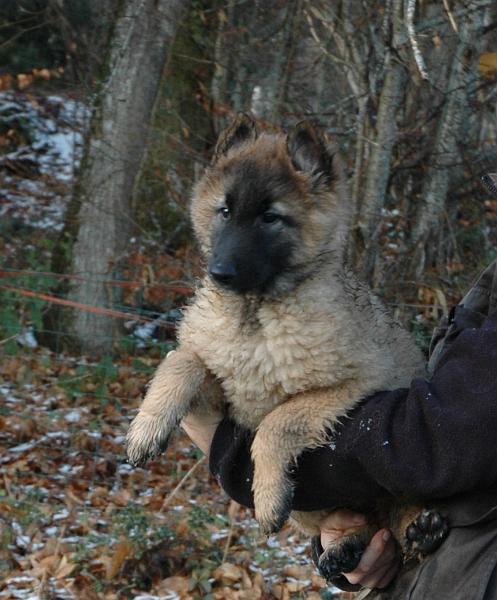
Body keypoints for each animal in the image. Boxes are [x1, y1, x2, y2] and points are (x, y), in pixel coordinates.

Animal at [126, 115, 448, 580]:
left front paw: (266, 495)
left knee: (396, 507)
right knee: (359, 521)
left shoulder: (354, 388)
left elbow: (277, 423)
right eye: (225, 211)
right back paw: (348, 546)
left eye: (270, 217)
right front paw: (146, 427)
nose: (219, 272)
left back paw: (419, 528)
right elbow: (182, 360)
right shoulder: (224, 392)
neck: (255, 318)